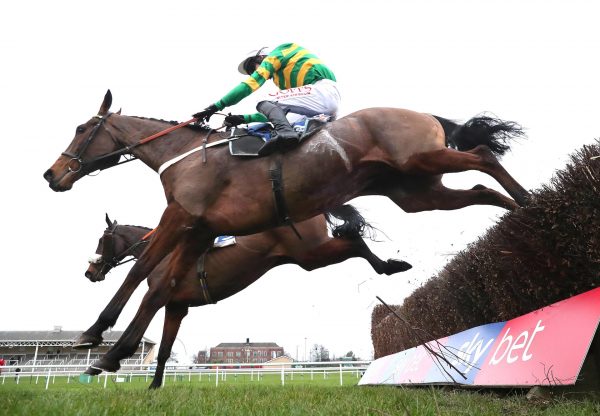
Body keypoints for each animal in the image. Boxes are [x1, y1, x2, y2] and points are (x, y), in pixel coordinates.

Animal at [86, 211, 410, 390]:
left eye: (101, 240)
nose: (90, 272)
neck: (166, 253)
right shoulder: (177, 306)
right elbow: (164, 351)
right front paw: (154, 386)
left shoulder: (161, 294)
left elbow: (139, 322)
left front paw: (104, 359)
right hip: (310, 253)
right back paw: (392, 265)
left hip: (311, 253)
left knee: (355, 242)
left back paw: (389, 265)